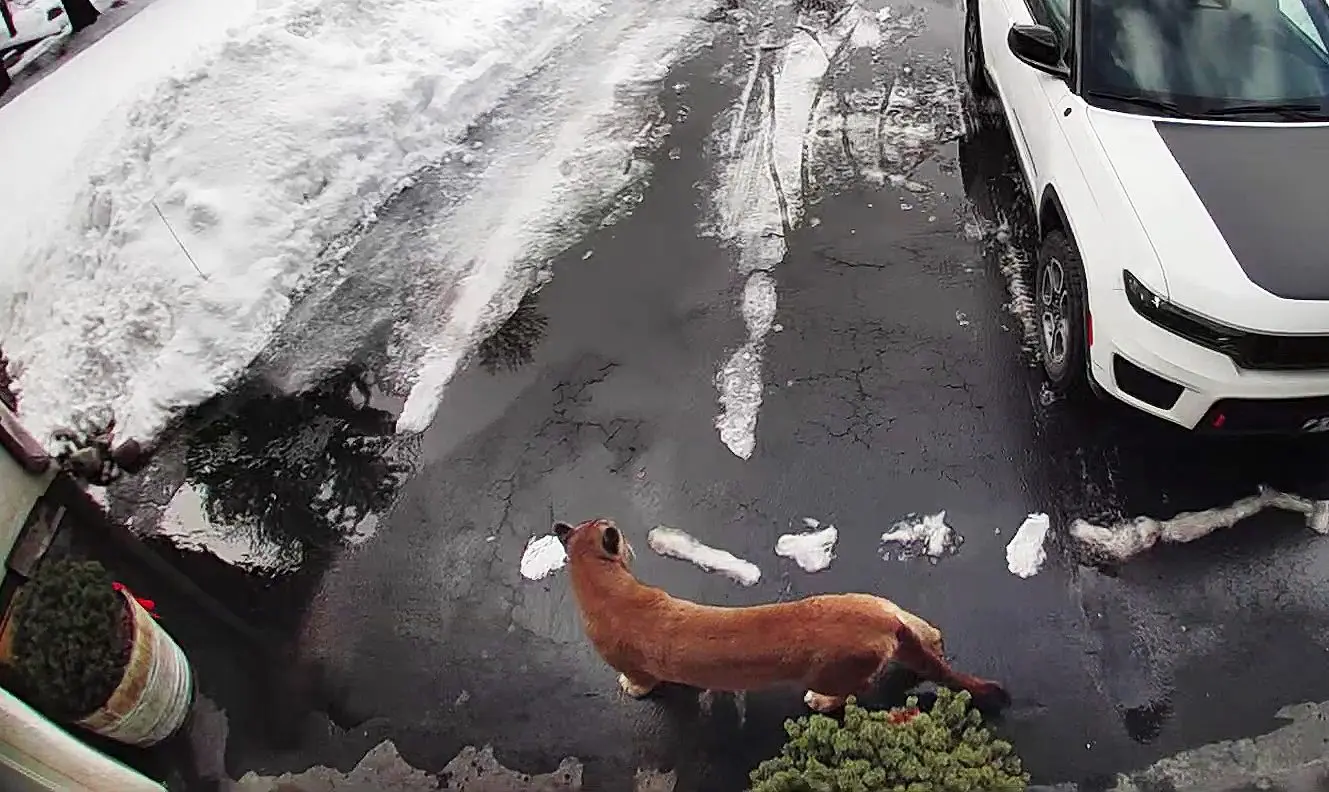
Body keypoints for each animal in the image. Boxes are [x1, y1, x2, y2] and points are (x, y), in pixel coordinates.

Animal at [554, 518, 1010, 713]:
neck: (602, 584)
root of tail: (882, 620)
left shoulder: (634, 664)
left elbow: (640, 681)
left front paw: (631, 690)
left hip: (834, 671)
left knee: (850, 691)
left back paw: (820, 701)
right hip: (882, 605)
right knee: (921, 628)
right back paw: (931, 639)